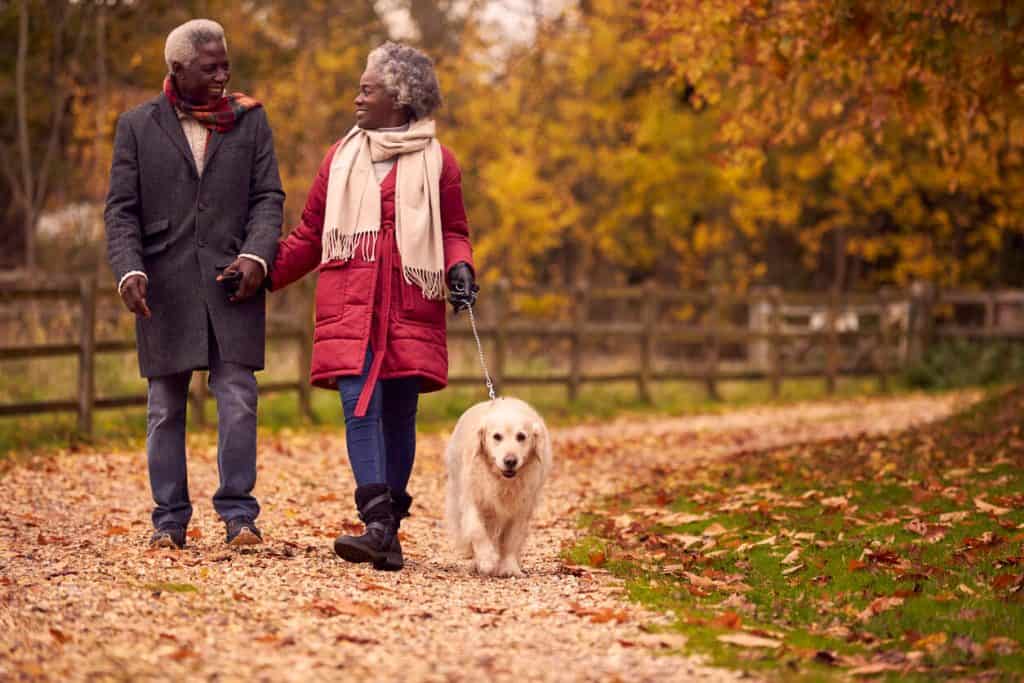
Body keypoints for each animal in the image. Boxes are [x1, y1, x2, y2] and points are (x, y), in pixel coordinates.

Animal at [442, 395, 548, 577]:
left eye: (521, 436)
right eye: (497, 436)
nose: (510, 461)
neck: (502, 481)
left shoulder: (522, 507)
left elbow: (512, 539)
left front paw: (509, 567)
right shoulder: (472, 499)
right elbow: (477, 530)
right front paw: (486, 559)